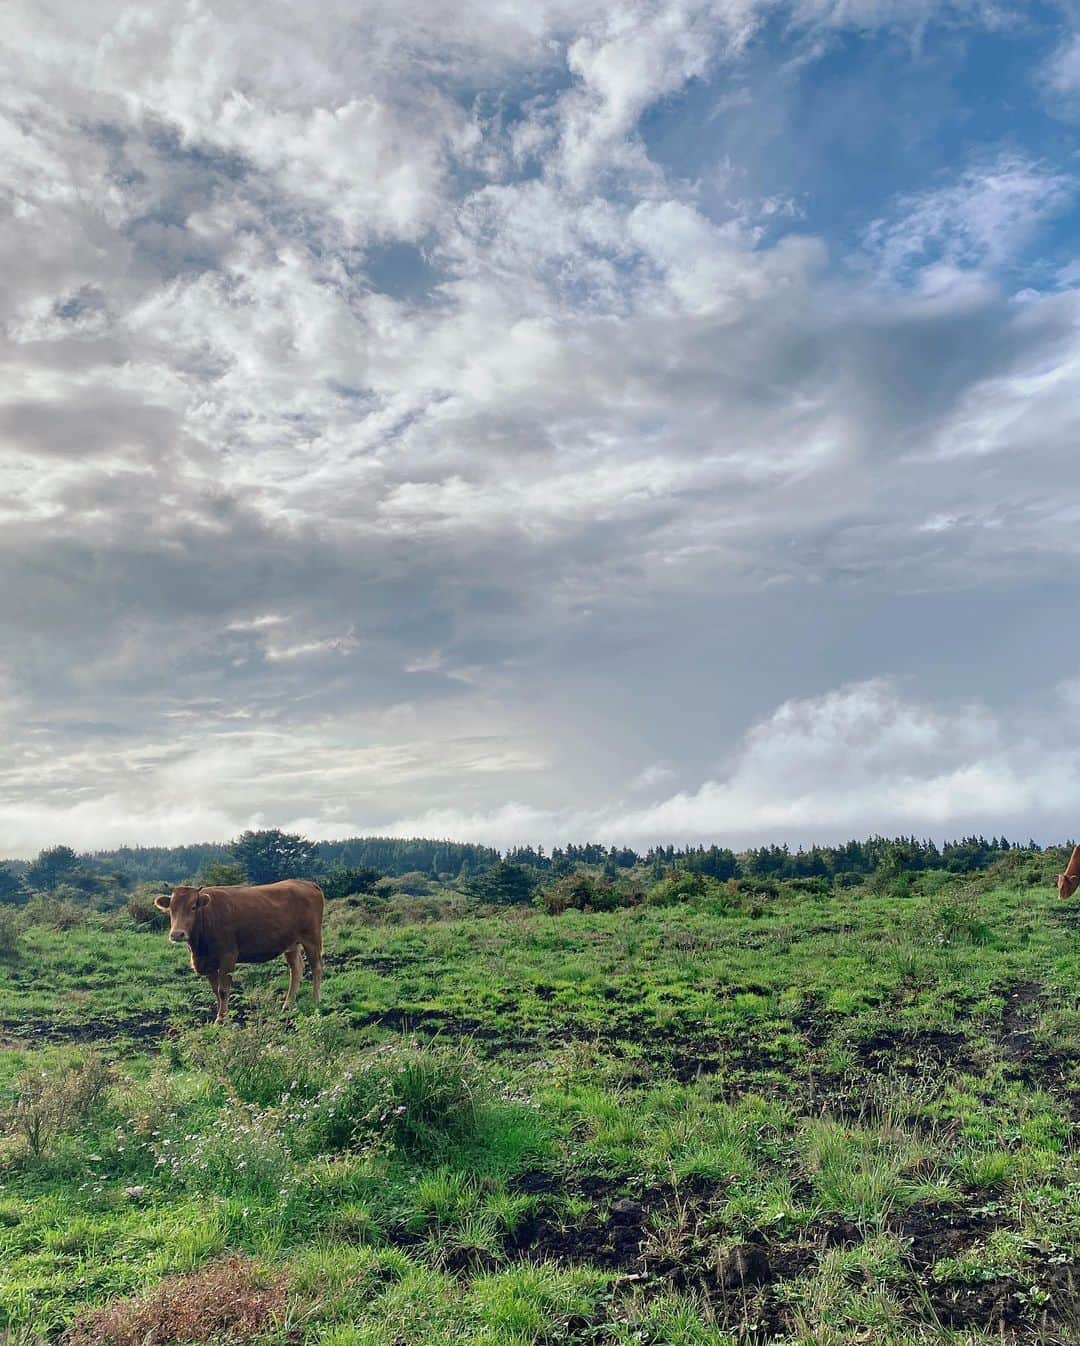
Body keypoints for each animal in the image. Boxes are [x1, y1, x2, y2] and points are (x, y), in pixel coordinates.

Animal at [154, 877, 324, 1022]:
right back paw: (288, 1004)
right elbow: (215, 990)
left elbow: (223, 990)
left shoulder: (228, 956)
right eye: (171, 909)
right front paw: (223, 1015)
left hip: (312, 938)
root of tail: (307, 883)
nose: (177, 934)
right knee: (296, 968)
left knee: (316, 967)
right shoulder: (207, 962)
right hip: (291, 943)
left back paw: (315, 1000)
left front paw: (221, 1019)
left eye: (193, 907)